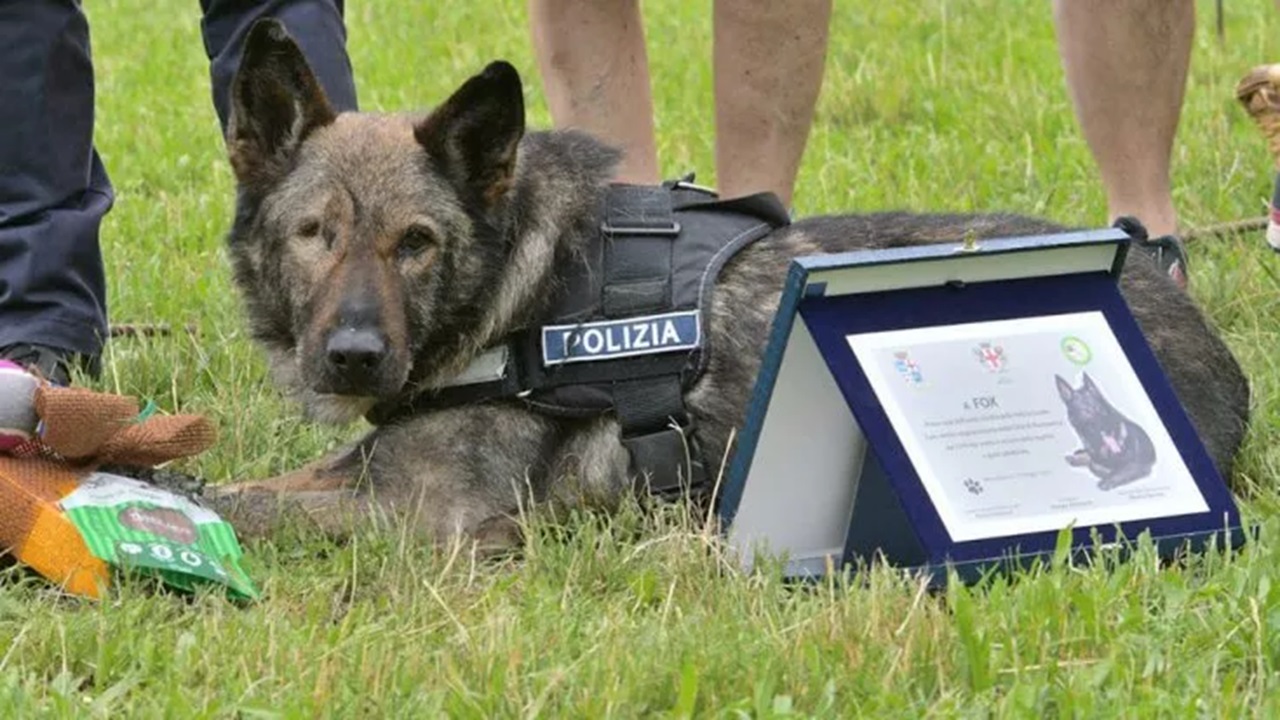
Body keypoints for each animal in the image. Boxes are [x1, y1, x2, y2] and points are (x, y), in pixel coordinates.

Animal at [215, 18, 1254, 543]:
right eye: (315, 234)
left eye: (417, 243)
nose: (352, 356)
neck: (515, 292)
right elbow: (242, 482)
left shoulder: (419, 517)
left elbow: (239, 505)